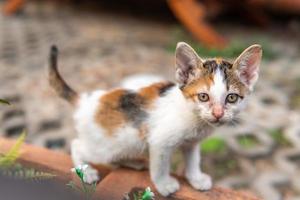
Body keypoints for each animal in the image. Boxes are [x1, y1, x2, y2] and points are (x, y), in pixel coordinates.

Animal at [48, 41, 262, 196]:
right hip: (105, 147)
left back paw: (133, 162)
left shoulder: (192, 143)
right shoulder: (160, 141)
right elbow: (160, 165)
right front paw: (164, 184)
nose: (218, 114)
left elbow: (193, 159)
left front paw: (196, 178)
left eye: (231, 98)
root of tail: (85, 100)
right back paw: (86, 171)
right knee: (77, 145)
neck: (195, 119)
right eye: (203, 96)